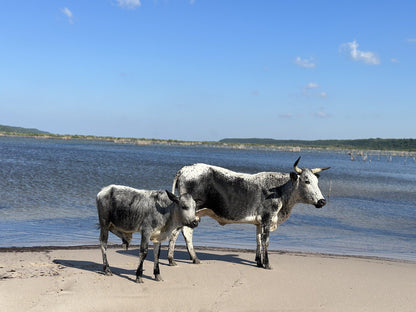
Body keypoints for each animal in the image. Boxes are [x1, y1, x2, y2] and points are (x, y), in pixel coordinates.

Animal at [167, 157, 330, 270]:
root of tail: (185, 169)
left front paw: (259, 261)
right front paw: (267, 264)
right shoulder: (267, 218)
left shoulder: (259, 222)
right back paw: (172, 259)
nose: (322, 201)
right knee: (177, 232)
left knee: (186, 233)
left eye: (316, 182)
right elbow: (265, 241)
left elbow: (258, 240)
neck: (280, 190)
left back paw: (193, 258)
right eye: (306, 181)